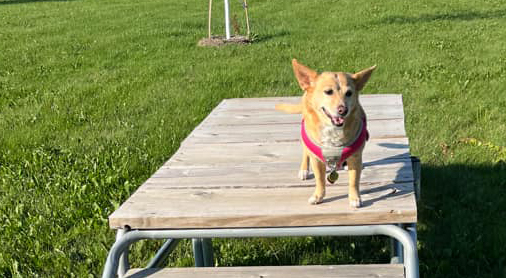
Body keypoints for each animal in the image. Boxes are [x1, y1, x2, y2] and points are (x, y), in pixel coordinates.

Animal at [274, 60, 374, 208]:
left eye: (349, 93)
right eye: (328, 92)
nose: (343, 110)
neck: (333, 130)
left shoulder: (356, 158)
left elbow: (354, 180)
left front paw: (354, 197)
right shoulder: (316, 160)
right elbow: (320, 180)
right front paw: (318, 196)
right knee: (305, 151)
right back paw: (304, 169)